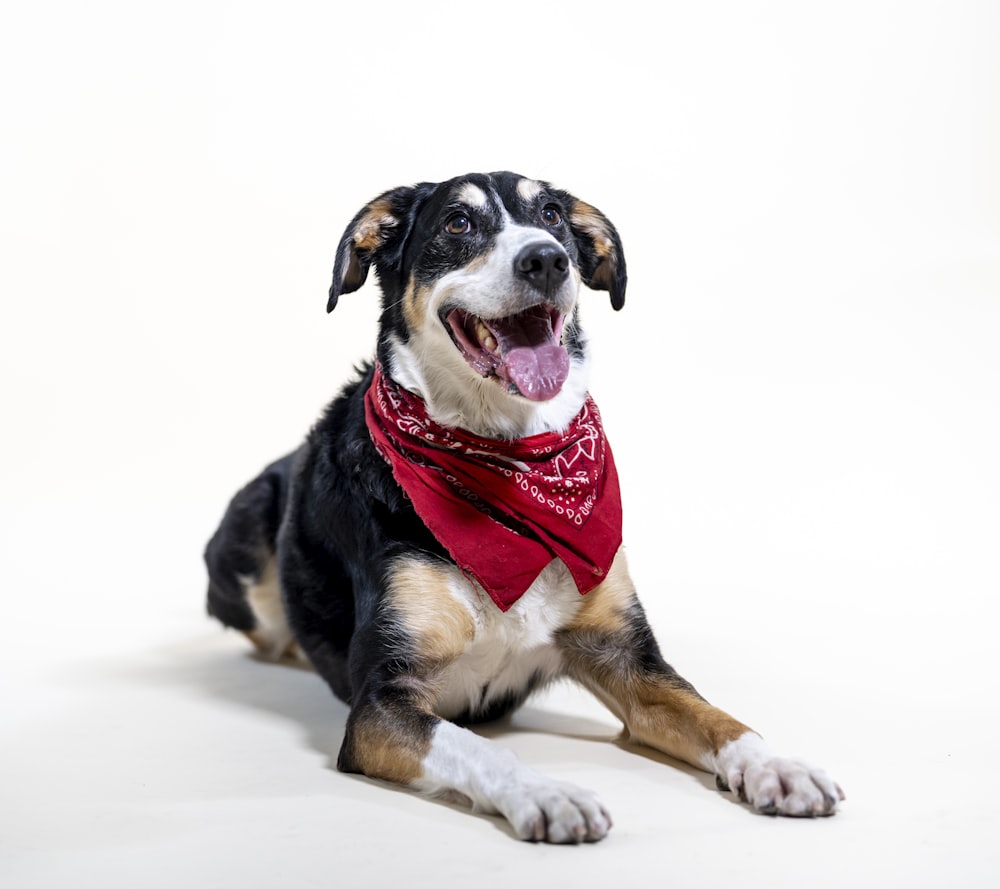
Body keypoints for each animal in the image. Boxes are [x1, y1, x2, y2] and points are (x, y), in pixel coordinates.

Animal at [203, 170, 844, 844]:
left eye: (554, 216)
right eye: (457, 222)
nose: (547, 258)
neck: (511, 465)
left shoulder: (627, 658)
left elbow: (714, 714)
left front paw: (778, 765)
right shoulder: (382, 702)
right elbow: (478, 747)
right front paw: (547, 793)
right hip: (248, 541)